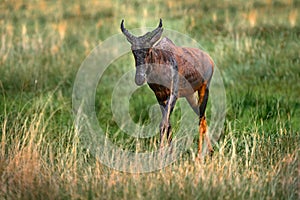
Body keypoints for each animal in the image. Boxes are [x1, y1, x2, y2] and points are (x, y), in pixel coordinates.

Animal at [120, 19, 214, 158]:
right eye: (133, 50)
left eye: (149, 50)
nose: (139, 78)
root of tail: (209, 58)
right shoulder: (160, 97)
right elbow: (168, 124)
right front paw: (169, 153)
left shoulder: (173, 95)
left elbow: (163, 123)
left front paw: (160, 154)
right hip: (190, 95)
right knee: (202, 116)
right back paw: (210, 151)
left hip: (204, 89)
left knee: (201, 117)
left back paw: (199, 155)